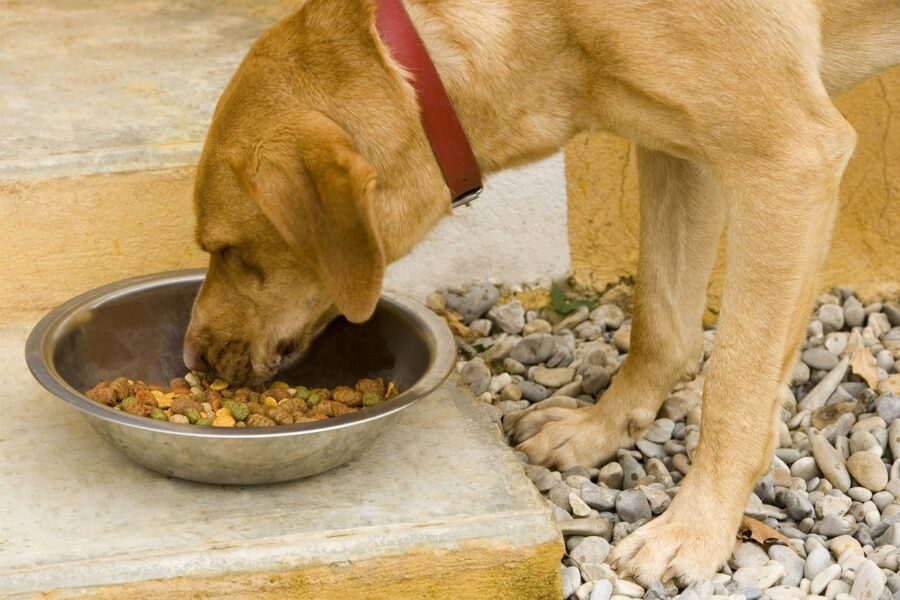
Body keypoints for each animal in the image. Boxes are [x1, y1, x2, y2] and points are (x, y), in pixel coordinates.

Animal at [185, 0, 900, 584]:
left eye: (228, 250)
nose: (193, 357)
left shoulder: (788, 163)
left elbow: (735, 386)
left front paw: (695, 530)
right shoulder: (681, 151)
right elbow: (660, 322)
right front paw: (599, 431)